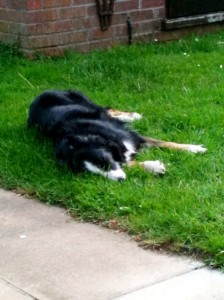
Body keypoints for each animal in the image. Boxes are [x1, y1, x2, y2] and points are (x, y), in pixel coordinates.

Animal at [27, 89, 206, 180]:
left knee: (107, 108)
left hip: (83, 100)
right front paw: (153, 166)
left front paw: (194, 149)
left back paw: (132, 116)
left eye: (105, 161)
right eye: (94, 173)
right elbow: (127, 163)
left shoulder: (131, 136)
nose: (119, 180)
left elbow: (166, 143)